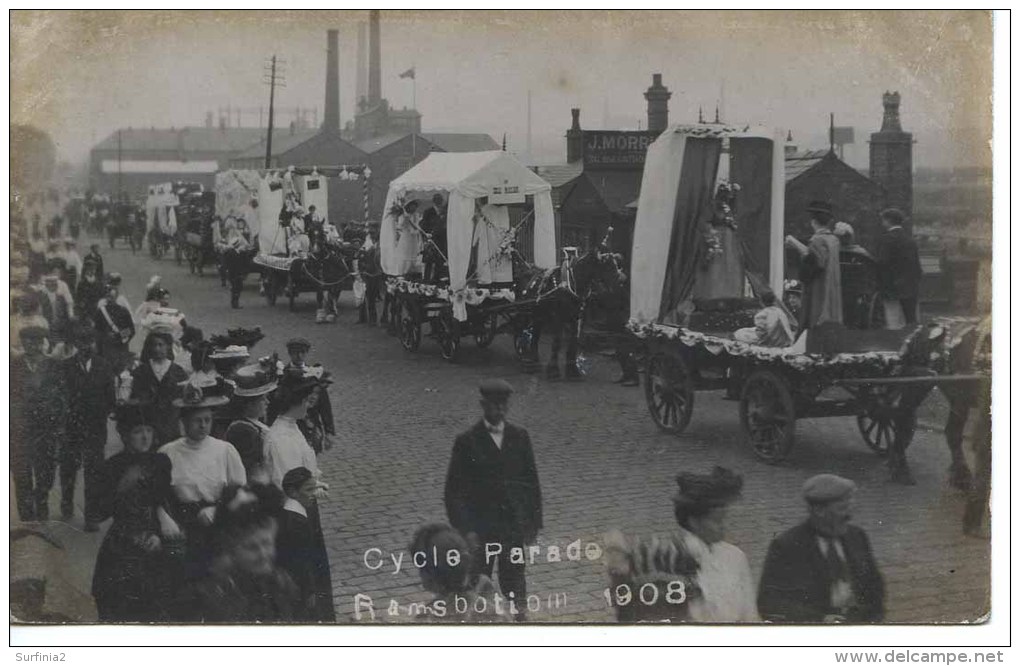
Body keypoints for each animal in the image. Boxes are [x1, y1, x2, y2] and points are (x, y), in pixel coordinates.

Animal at [514, 233, 624, 379]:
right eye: (606, 265)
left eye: (616, 263)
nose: (622, 282)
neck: (572, 283)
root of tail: (524, 269)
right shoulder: (558, 318)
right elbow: (557, 342)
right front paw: (553, 371)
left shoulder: (578, 319)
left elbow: (573, 342)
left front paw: (573, 371)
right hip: (524, 313)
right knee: (521, 331)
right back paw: (526, 361)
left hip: (539, 314)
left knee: (536, 335)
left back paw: (534, 361)